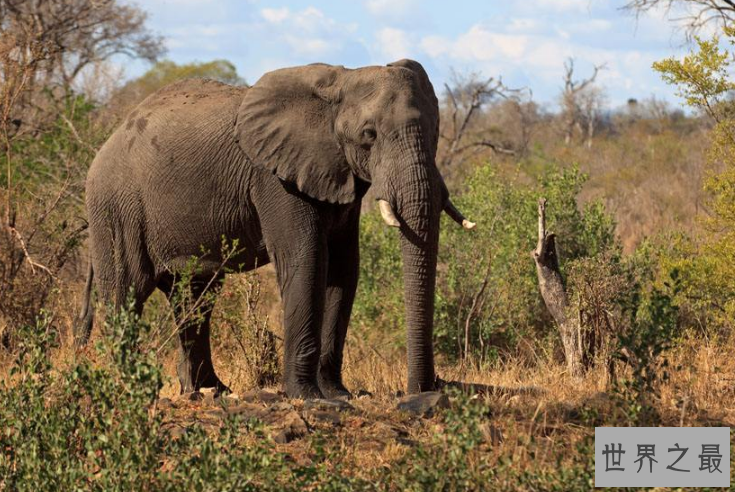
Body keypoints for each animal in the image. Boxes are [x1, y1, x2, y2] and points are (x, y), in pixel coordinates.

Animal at [76, 58, 478, 400]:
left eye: (436, 131)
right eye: (369, 135)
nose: (423, 390)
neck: (340, 81)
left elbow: (344, 270)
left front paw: (338, 394)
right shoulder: (274, 177)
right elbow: (307, 260)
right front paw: (309, 397)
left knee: (195, 295)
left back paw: (209, 391)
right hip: (116, 206)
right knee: (127, 291)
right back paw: (127, 389)